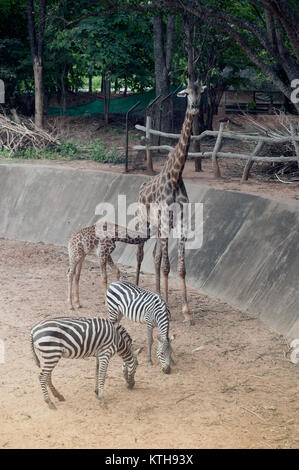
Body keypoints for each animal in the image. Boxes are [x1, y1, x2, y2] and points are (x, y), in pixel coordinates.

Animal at [135, 80, 206, 324]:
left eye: (200, 92)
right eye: (186, 93)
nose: (195, 107)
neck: (175, 176)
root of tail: (140, 189)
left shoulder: (181, 223)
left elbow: (180, 267)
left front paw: (186, 312)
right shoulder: (166, 221)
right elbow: (167, 266)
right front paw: (168, 309)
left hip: (158, 228)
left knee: (155, 256)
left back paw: (157, 293)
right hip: (145, 223)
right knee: (141, 253)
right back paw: (135, 287)